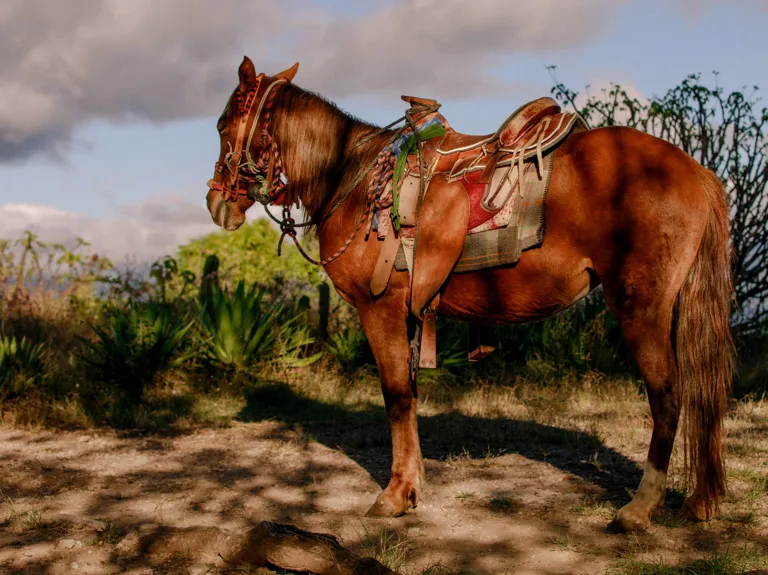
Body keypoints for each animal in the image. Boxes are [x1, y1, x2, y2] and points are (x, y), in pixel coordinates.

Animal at [205, 57, 735, 533]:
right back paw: (700, 501)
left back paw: (639, 509)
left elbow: (395, 397)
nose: (216, 203)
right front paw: (413, 484)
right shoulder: (409, 316)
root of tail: (696, 171)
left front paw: (394, 495)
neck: (351, 178)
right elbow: (411, 396)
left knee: (667, 397)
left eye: (222, 125)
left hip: (641, 309)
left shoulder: (379, 310)